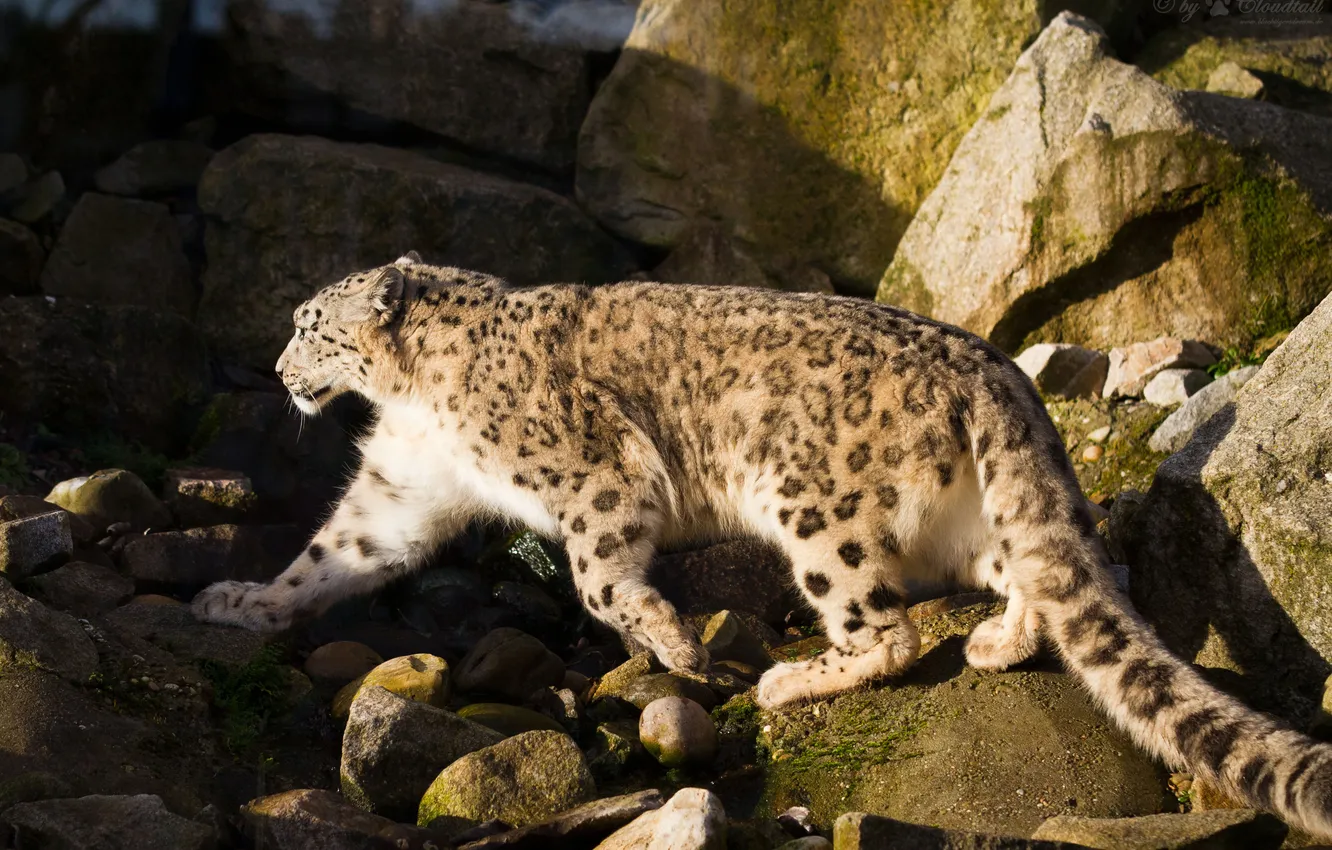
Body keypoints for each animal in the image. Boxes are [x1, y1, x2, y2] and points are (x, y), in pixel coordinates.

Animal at [193, 252, 1332, 837]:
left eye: (311, 326)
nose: (280, 369)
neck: (415, 399)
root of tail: (996, 369)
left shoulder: (596, 475)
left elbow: (599, 576)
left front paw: (672, 642)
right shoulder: (400, 488)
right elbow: (332, 554)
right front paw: (238, 603)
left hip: (814, 502)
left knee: (885, 627)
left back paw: (794, 679)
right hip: (963, 511)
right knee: (1037, 569)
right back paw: (1000, 640)